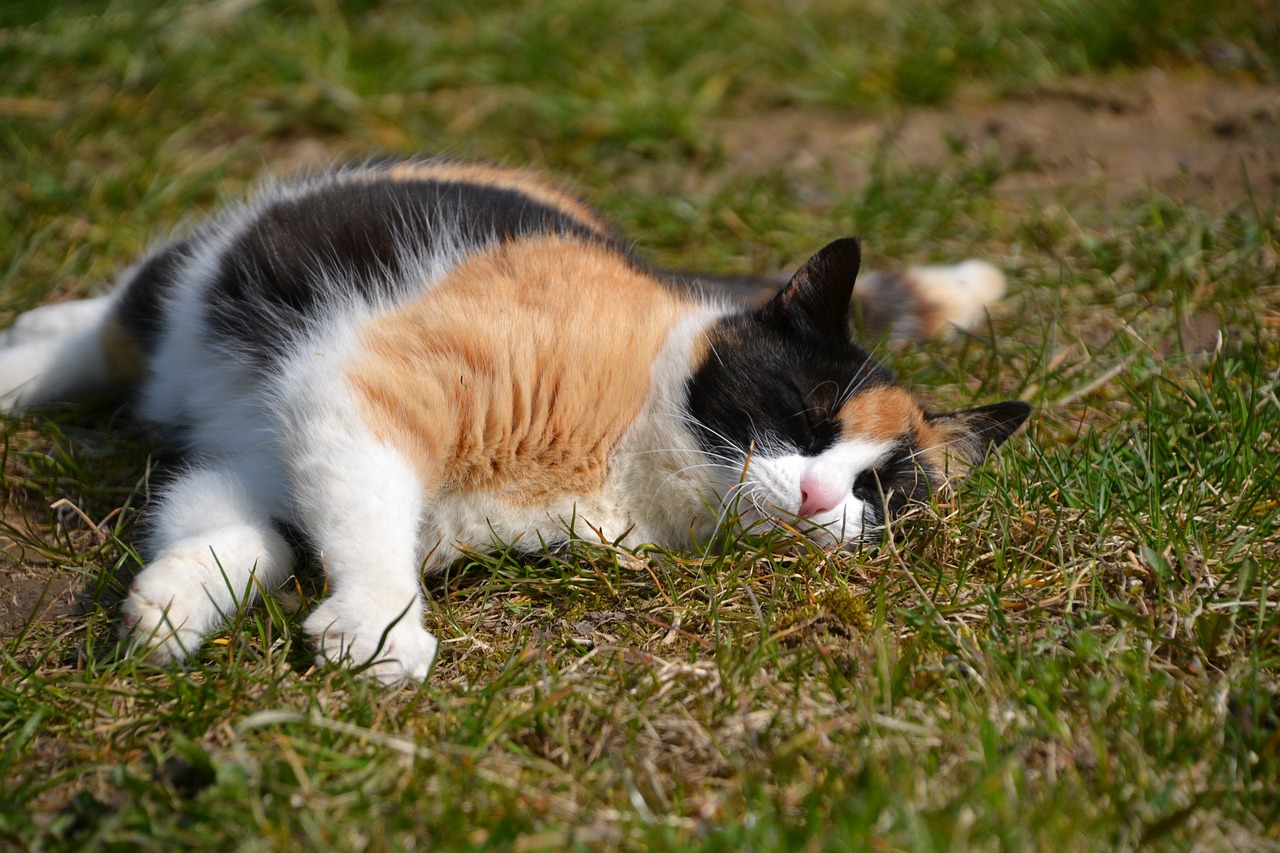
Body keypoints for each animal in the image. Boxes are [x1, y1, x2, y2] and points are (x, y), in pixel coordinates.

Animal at [0, 156, 1024, 681]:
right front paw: (380, 626)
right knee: (113, 324)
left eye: (879, 492)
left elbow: (249, 529)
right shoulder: (365, 385)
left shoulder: (269, 445)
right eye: (804, 417)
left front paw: (171, 605)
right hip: (203, 288)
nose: (819, 499)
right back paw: (28, 355)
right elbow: (365, 511)